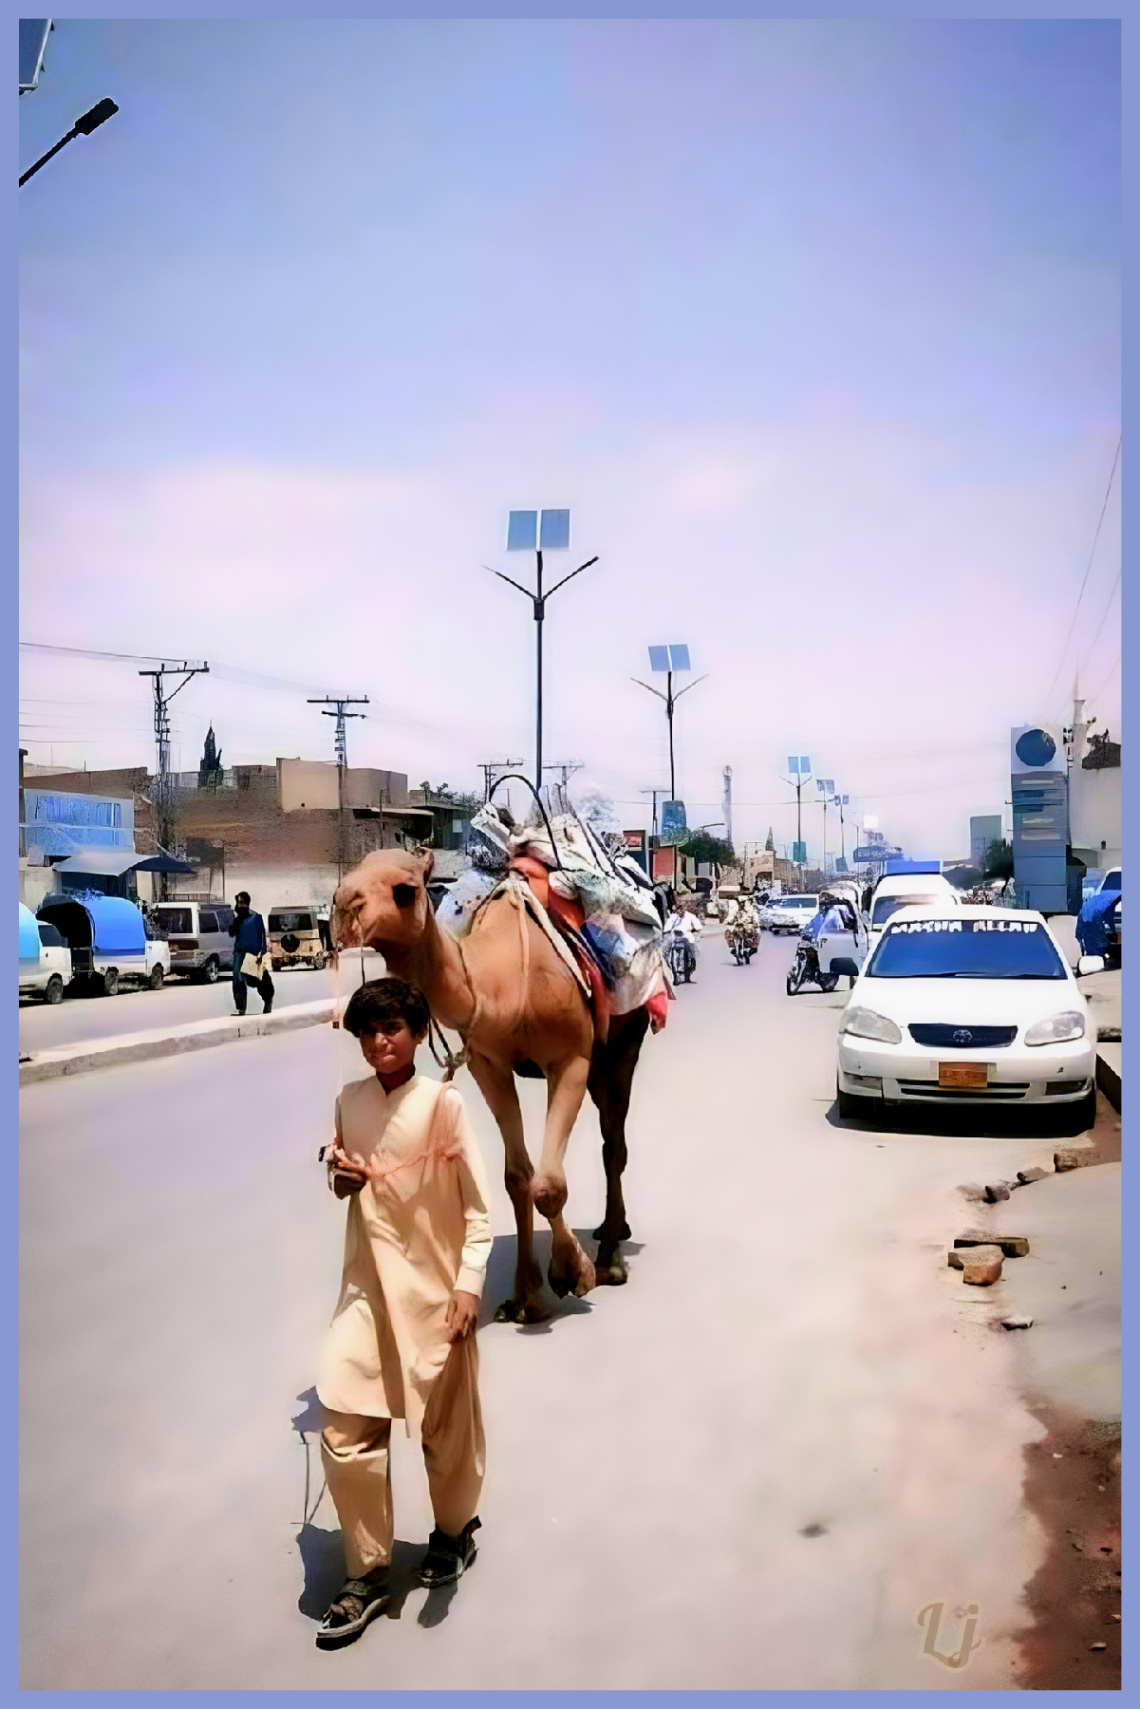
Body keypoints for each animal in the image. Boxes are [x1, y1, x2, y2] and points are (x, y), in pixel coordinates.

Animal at [331, 844, 649, 1319]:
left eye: (406, 890)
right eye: (349, 875)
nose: (342, 907)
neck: (503, 987)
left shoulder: (569, 1058)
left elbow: (548, 1185)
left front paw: (573, 1274)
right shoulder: (489, 1064)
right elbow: (518, 1178)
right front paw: (526, 1298)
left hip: (625, 1039)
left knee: (614, 1143)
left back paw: (610, 1259)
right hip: (598, 1057)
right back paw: (615, 1232)